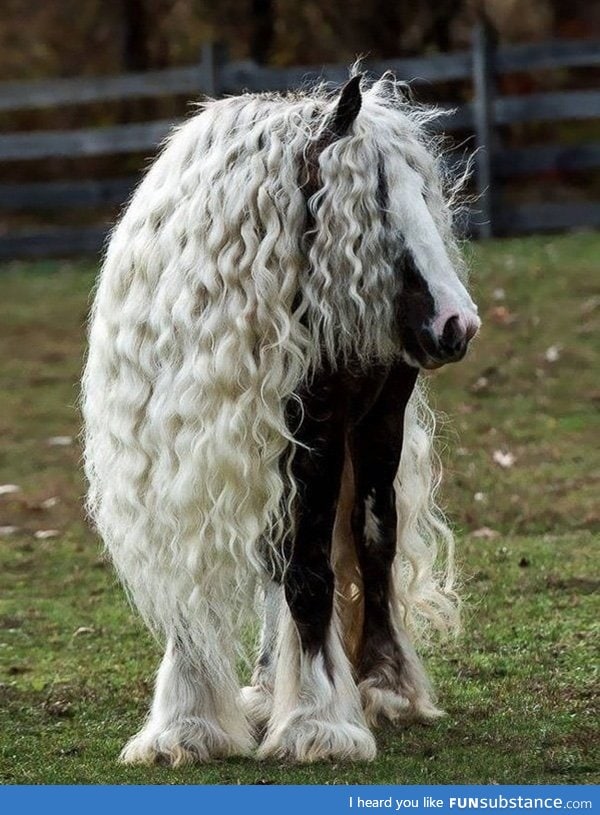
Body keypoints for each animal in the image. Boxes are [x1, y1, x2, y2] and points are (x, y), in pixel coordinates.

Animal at [82, 71, 480, 764]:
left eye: (422, 195)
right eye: (376, 202)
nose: (457, 324)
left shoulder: (315, 437)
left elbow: (312, 572)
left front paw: (317, 721)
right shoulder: (179, 459)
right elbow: (203, 575)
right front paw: (187, 724)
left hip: (375, 427)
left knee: (372, 540)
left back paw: (383, 686)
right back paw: (271, 686)